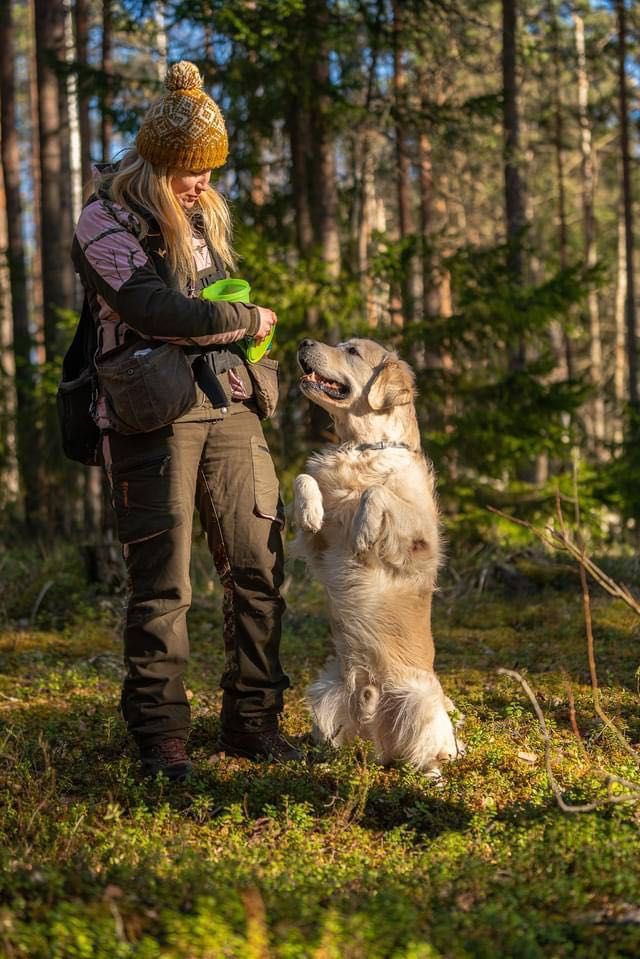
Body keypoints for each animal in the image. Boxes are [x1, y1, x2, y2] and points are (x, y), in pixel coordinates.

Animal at [292, 338, 462, 772]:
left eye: (352, 350)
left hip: (419, 703)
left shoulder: (422, 542)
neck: (361, 448)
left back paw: (431, 774)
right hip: (323, 691)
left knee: (427, 754)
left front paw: (365, 529)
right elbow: (303, 479)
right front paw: (310, 509)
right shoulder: (319, 547)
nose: (304, 342)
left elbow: (378, 492)